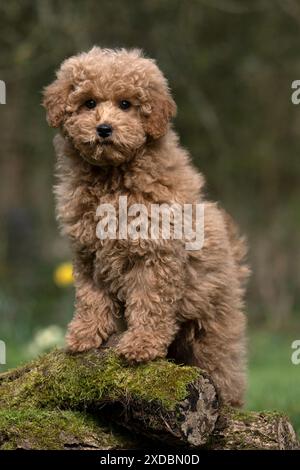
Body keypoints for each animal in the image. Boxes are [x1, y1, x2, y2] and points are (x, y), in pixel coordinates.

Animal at [42, 48, 248, 408]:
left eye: (126, 104)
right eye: (89, 103)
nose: (104, 128)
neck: (112, 177)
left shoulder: (157, 253)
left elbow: (151, 300)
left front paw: (141, 345)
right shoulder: (88, 255)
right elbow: (90, 297)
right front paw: (84, 335)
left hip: (213, 327)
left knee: (223, 367)